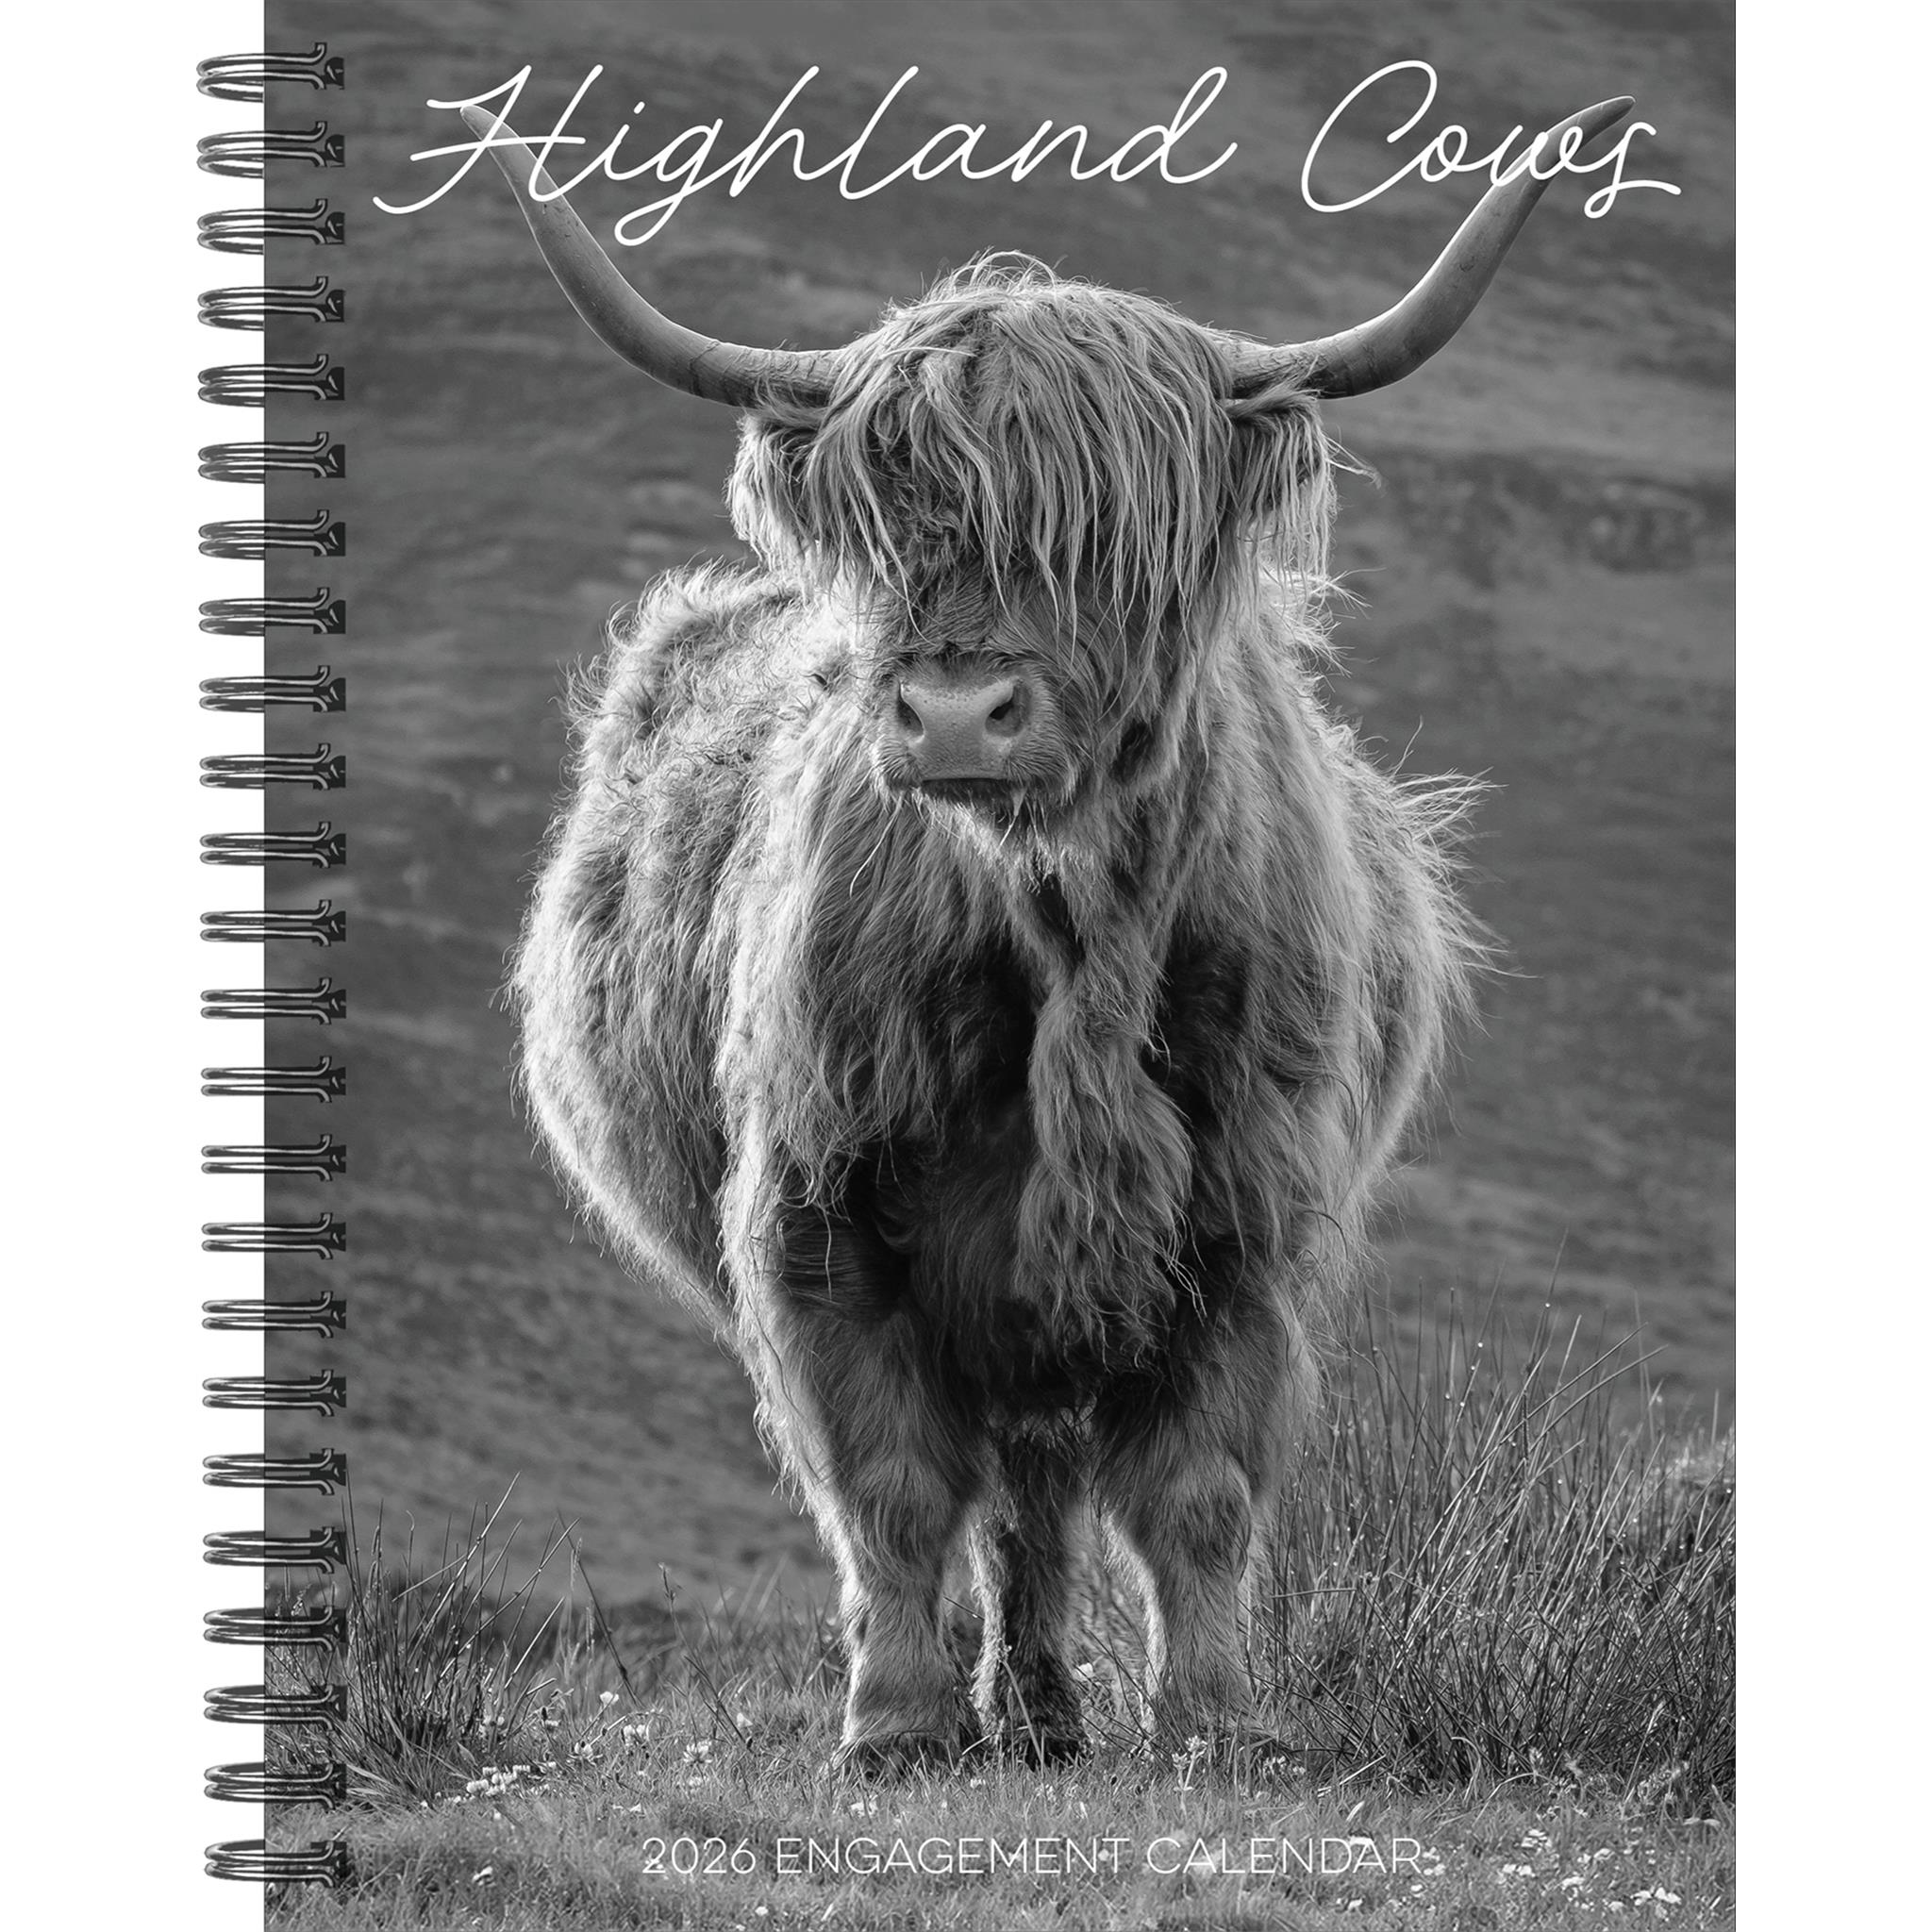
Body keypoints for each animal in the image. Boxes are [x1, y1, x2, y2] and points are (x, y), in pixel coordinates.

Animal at [476, 94, 1632, 1768]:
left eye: (1107, 534)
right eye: (891, 523)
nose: (958, 711)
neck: (1072, 933)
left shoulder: (1245, 1215)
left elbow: (1197, 1494)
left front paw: (1211, 1722)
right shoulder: (818, 1202)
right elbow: (891, 1487)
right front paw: (894, 1725)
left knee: (1041, 1485)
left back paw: (1042, 1712)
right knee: (1008, 1486)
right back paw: (1010, 1710)